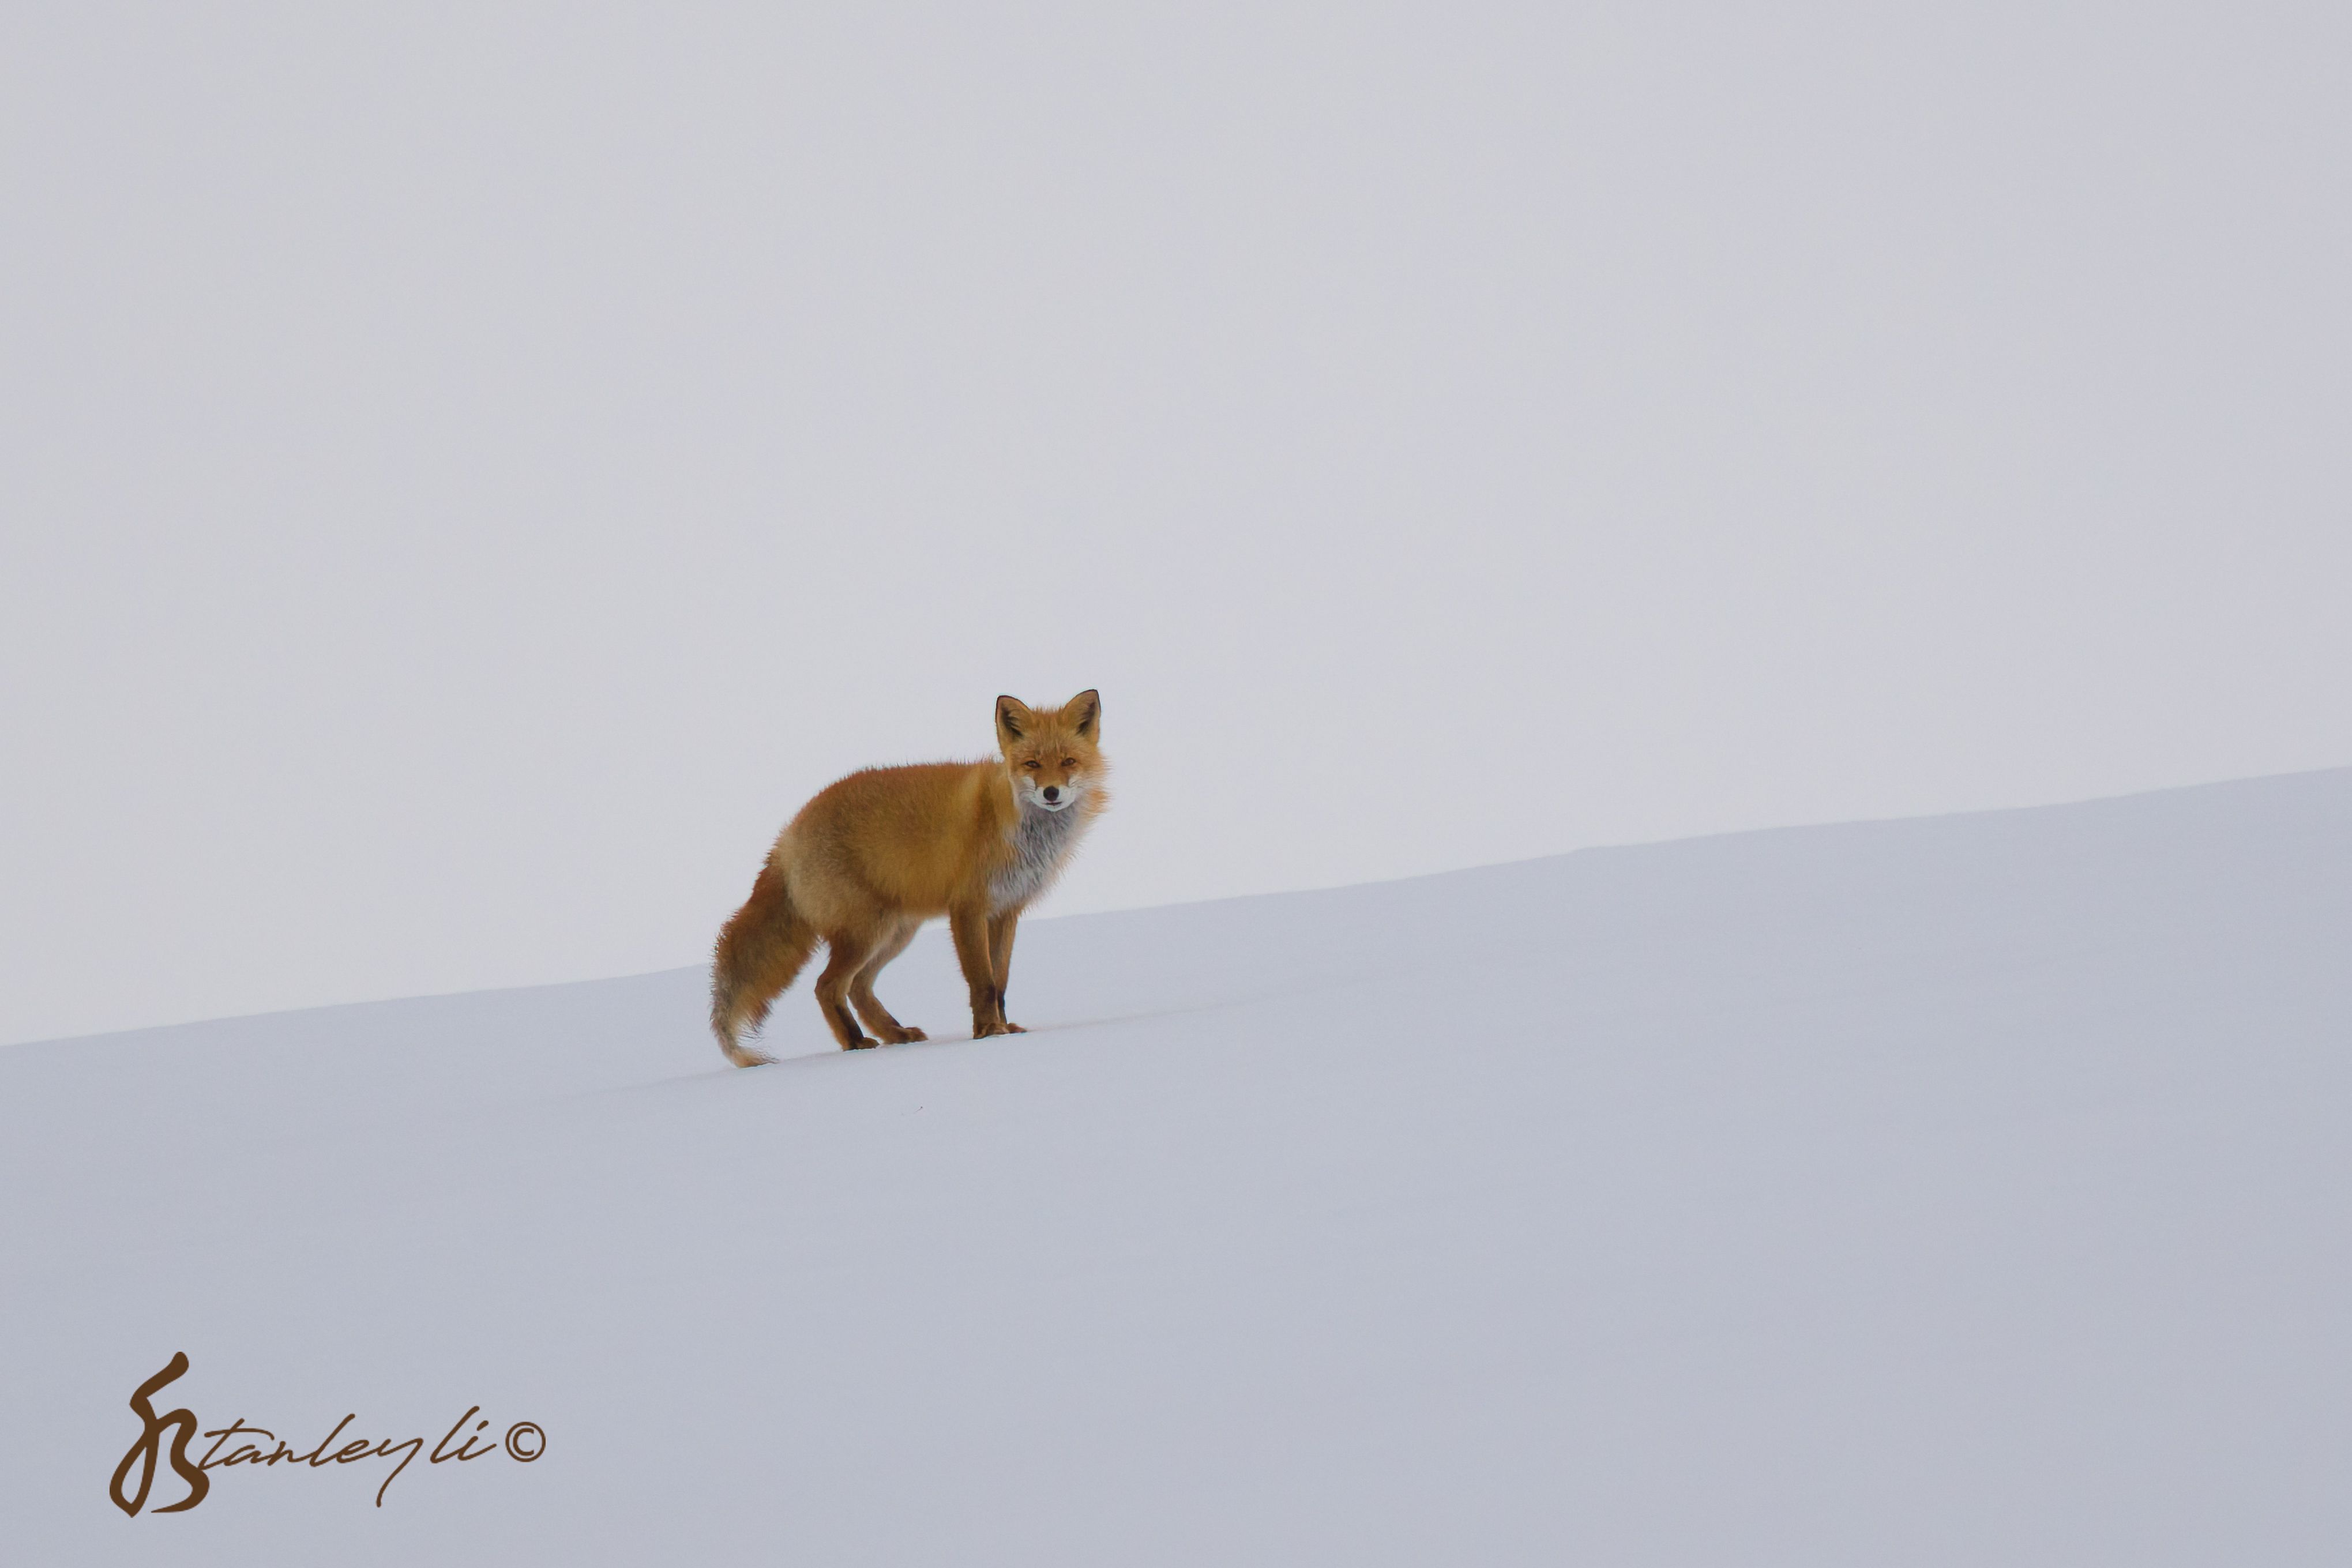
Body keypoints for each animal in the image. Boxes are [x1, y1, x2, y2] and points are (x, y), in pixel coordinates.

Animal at [710, 690, 1109, 1066]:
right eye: (1032, 764)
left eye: (1069, 762)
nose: (1051, 792)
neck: (1017, 828)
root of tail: (788, 835)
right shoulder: (968, 909)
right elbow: (982, 982)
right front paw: (988, 1032)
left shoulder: (1006, 911)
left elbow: (1001, 983)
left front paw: (1005, 1029)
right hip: (866, 932)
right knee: (827, 986)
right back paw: (855, 1042)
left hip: (895, 933)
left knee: (858, 988)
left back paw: (895, 1034)